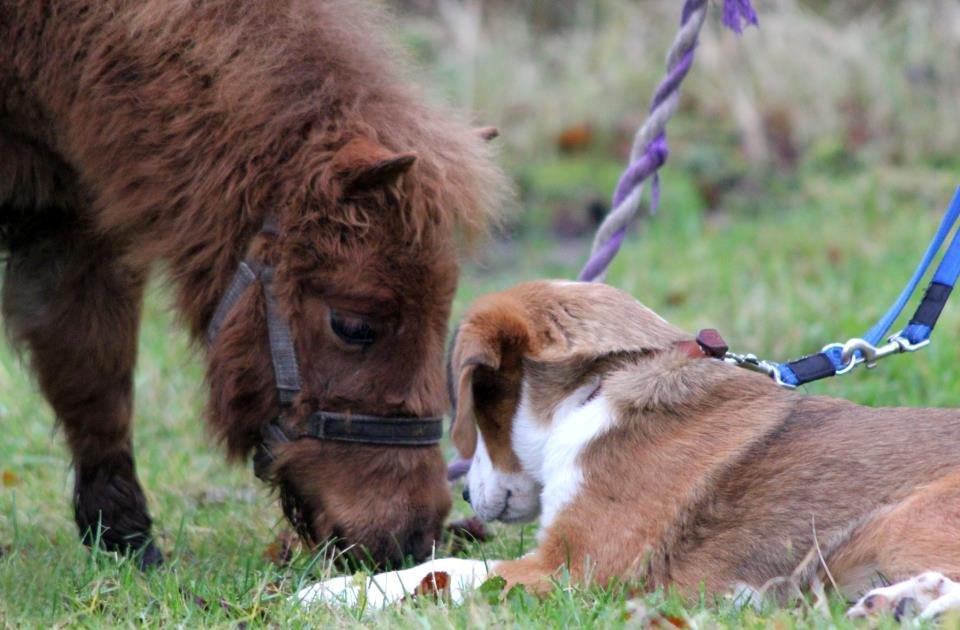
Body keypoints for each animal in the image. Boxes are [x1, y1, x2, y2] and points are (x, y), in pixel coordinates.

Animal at [300, 282, 960, 624]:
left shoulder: (573, 571)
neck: (601, 383)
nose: (464, 492)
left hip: (899, 519)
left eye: (477, 407)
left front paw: (326, 592)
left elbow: (445, 571)